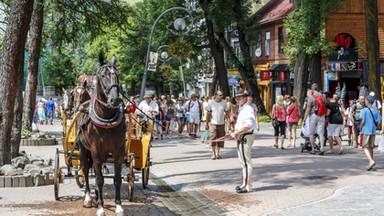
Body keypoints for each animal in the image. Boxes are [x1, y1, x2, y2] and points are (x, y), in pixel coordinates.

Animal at [76, 54, 126, 216]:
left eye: (118, 75)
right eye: (103, 75)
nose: (115, 99)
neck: (107, 118)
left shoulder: (119, 152)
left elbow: (117, 179)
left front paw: (118, 206)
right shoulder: (96, 151)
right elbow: (99, 179)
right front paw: (100, 207)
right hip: (84, 150)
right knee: (86, 169)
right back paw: (88, 198)